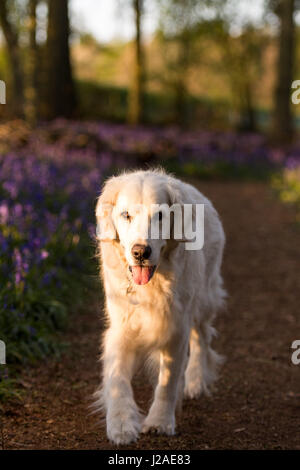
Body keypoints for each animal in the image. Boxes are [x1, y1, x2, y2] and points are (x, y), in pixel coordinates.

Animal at [94, 169, 225, 444]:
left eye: (161, 216)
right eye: (126, 215)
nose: (140, 252)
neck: (152, 286)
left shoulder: (176, 327)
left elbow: (168, 380)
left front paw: (160, 422)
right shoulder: (121, 326)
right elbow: (117, 377)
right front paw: (121, 424)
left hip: (203, 300)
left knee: (202, 337)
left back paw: (195, 381)